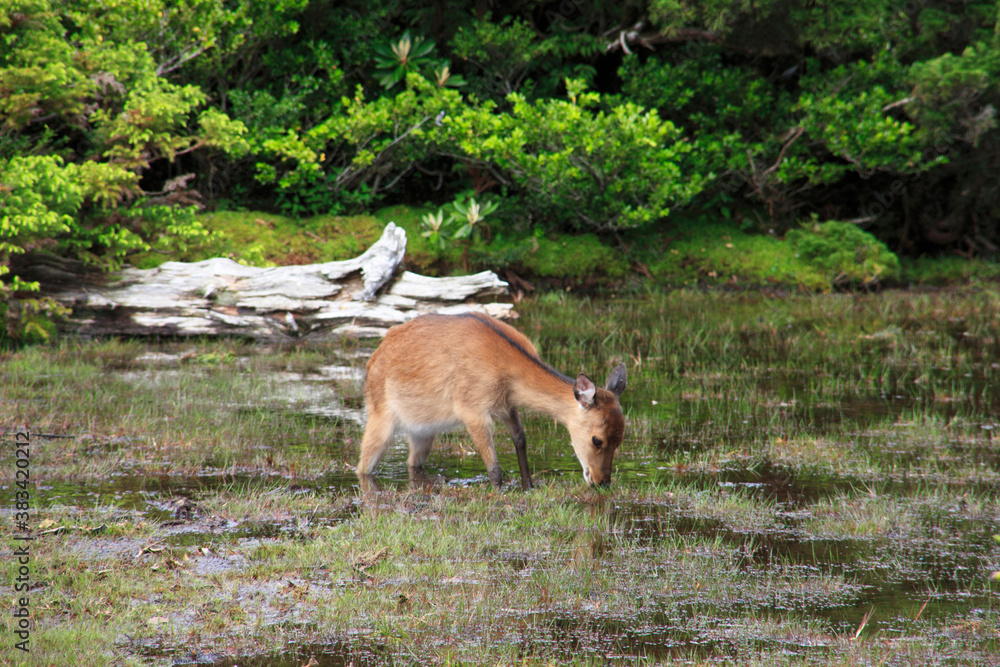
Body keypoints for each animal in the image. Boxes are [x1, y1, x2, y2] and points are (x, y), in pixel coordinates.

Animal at [358, 314, 624, 490]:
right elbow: (494, 467)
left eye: (620, 440)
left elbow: (520, 439)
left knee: (413, 463)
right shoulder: (472, 409)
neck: (505, 371)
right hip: (379, 416)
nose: (602, 481)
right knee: (362, 465)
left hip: (423, 432)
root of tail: (372, 361)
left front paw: (529, 486)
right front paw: (499, 493)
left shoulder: (507, 406)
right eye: (597, 439)